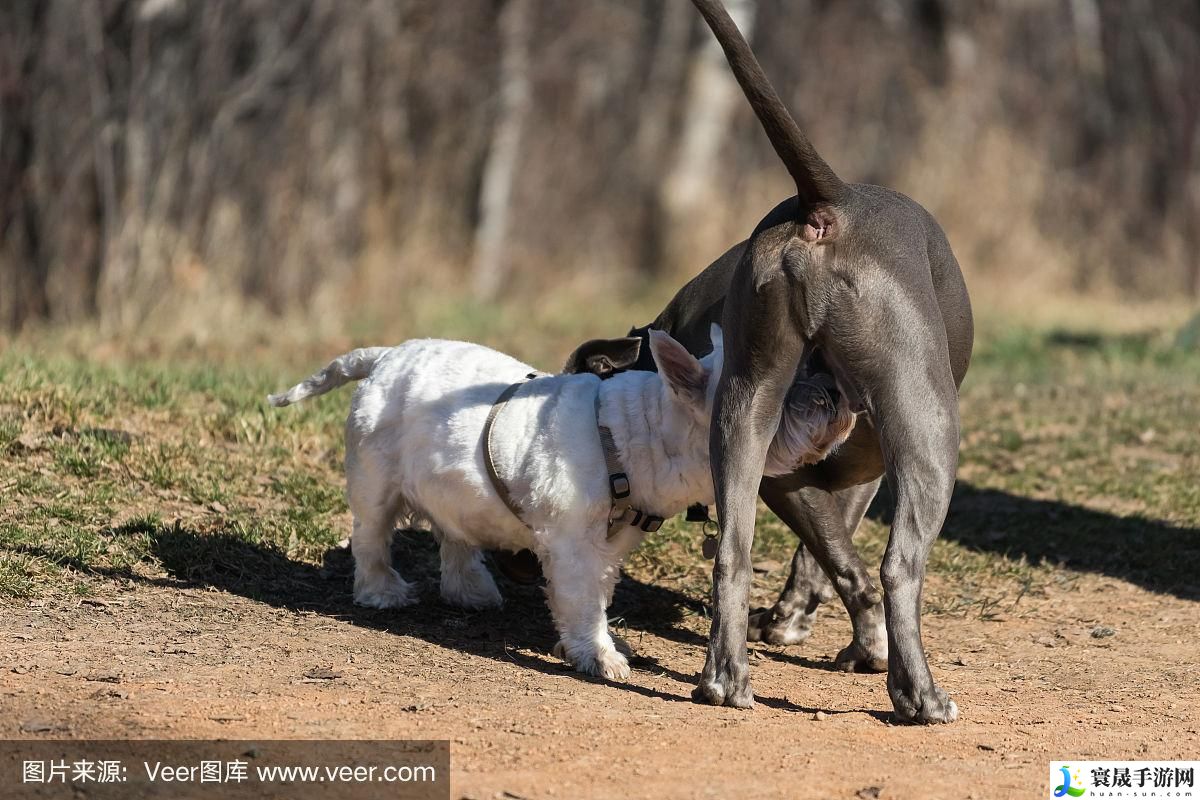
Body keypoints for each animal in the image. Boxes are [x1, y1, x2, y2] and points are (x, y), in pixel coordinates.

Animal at [273, 326, 854, 681]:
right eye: (777, 392)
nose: (835, 393)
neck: (640, 431)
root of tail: (383, 356)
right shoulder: (573, 543)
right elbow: (582, 601)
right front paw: (601, 656)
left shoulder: (607, 548)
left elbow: (592, 597)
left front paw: (585, 645)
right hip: (376, 479)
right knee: (372, 535)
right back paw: (382, 592)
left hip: (449, 485)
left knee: (454, 531)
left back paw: (471, 592)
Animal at [564, 1, 974, 724]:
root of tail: (828, 203)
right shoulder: (824, 468)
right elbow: (848, 560)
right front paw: (860, 646)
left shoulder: (832, 470)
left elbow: (830, 553)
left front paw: (801, 621)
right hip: (926, 427)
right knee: (899, 565)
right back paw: (919, 695)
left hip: (748, 402)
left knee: (734, 550)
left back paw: (725, 680)